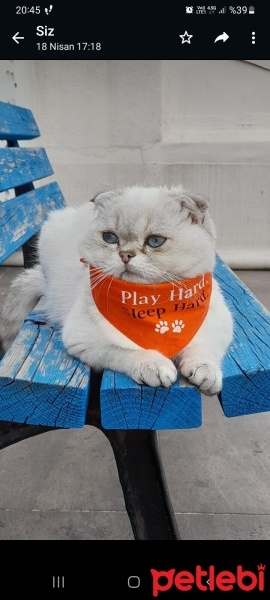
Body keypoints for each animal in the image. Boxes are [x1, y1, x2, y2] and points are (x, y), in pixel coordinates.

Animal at [0, 185, 233, 396]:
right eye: (110, 238)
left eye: (155, 241)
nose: (125, 255)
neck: (151, 305)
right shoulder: (84, 339)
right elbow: (129, 351)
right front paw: (155, 367)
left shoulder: (220, 326)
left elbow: (204, 350)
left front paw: (206, 373)